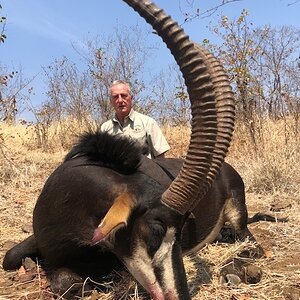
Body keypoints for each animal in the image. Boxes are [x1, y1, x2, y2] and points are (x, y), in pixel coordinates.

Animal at [2, 0, 280, 300]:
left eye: (180, 232)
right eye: (156, 229)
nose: (178, 294)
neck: (67, 201)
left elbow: (69, 282)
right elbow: (10, 257)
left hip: (238, 214)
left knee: (252, 245)